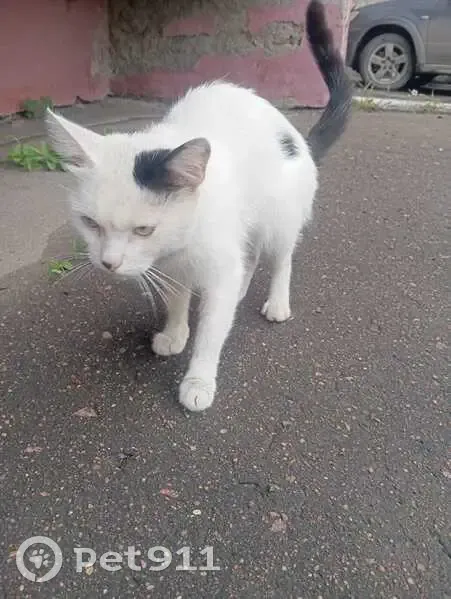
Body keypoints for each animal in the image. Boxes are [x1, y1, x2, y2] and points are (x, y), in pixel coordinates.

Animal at [46, 0, 352, 412]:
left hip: (279, 218)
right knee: (249, 256)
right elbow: (178, 301)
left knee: (280, 258)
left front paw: (199, 381)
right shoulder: (173, 266)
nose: (108, 263)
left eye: (144, 229)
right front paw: (175, 333)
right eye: (90, 223)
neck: (182, 242)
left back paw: (276, 302)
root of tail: (297, 137)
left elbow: (211, 332)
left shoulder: (216, 260)